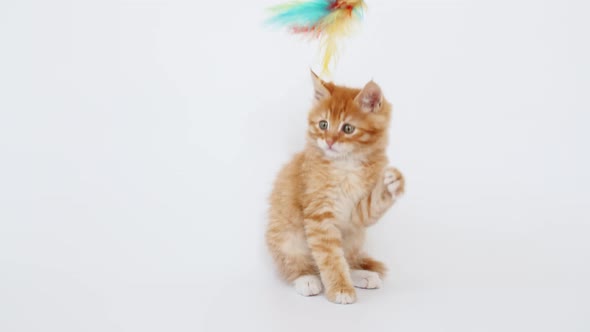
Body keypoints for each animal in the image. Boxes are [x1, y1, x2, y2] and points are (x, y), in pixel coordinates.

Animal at [266, 72, 404, 304]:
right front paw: (340, 289)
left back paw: (361, 275)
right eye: (323, 124)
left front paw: (391, 183)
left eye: (347, 128)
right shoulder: (318, 216)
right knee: (297, 264)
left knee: (348, 260)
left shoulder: (356, 215)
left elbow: (371, 206)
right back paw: (307, 279)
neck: (346, 164)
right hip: (286, 236)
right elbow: (330, 258)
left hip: (354, 237)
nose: (329, 141)